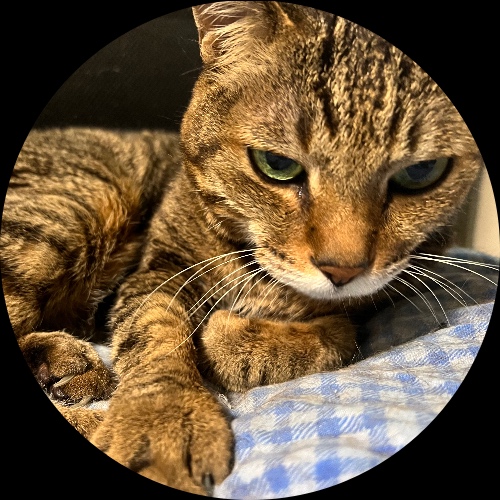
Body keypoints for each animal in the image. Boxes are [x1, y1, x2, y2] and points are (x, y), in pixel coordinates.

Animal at [0, 1, 485, 496]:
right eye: (277, 165)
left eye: (421, 173)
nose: (342, 270)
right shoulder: (156, 272)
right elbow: (157, 331)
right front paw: (163, 420)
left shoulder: (370, 300)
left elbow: (336, 333)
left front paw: (232, 339)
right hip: (84, 204)